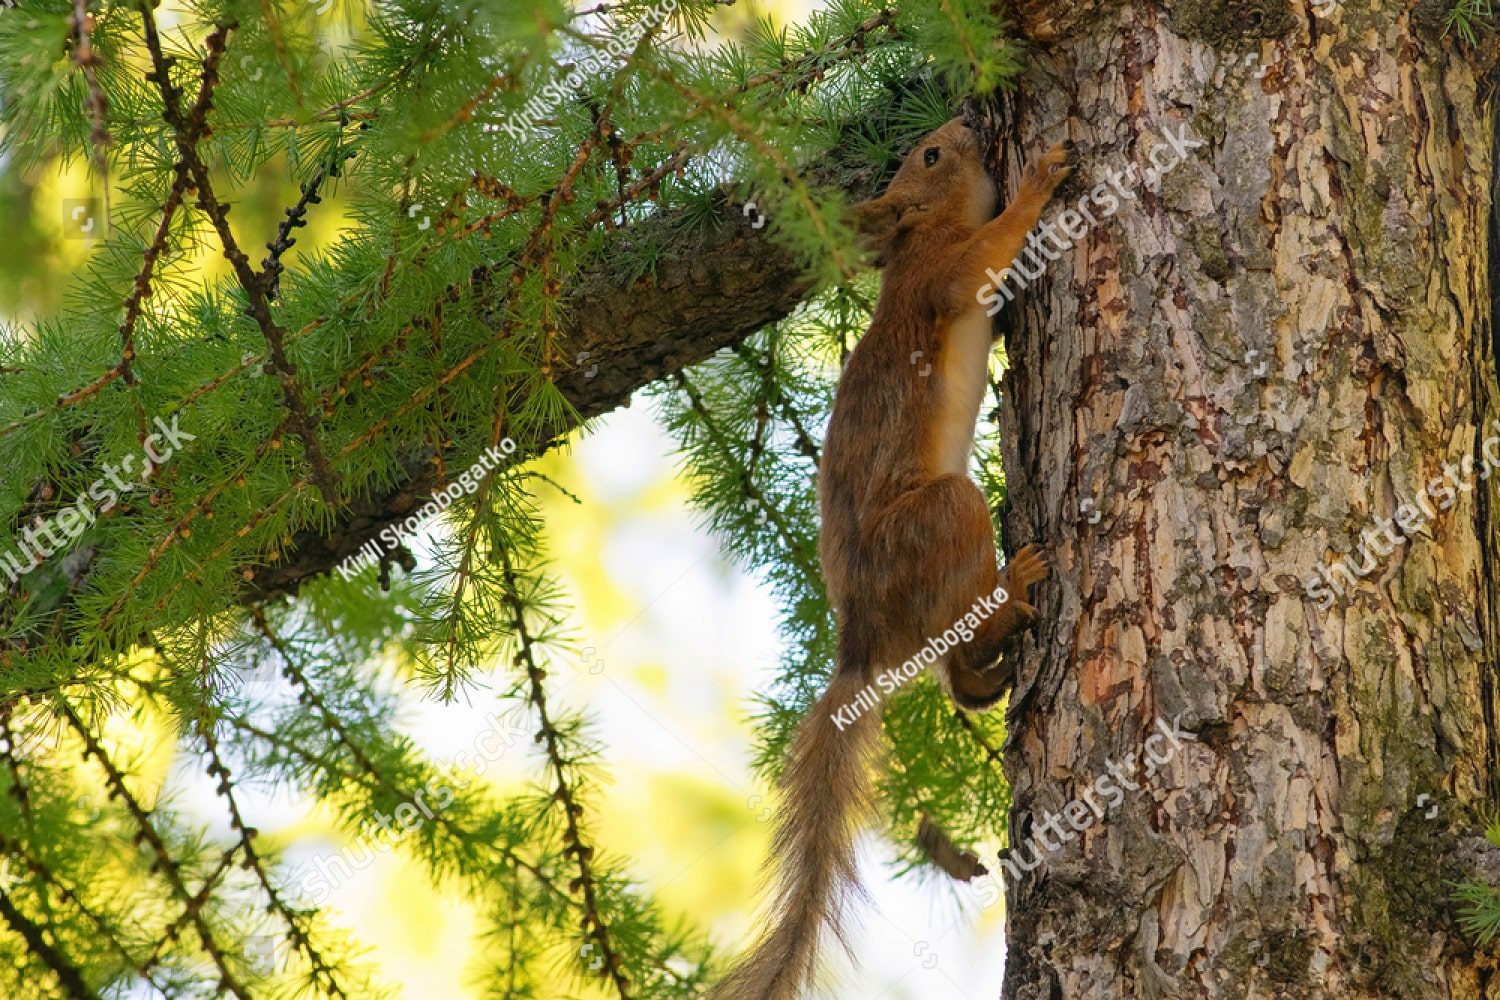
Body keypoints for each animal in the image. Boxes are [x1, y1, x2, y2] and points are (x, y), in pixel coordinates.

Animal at [711, 118, 1073, 1000]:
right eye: (931, 157)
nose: (969, 120)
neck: (919, 238)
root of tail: (861, 642)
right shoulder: (946, 275)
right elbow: (993, 249)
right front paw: (1039, 182)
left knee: (953, 663)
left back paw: (986, 668)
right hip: (946, 517)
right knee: (963, 613)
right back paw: (1015, 587)